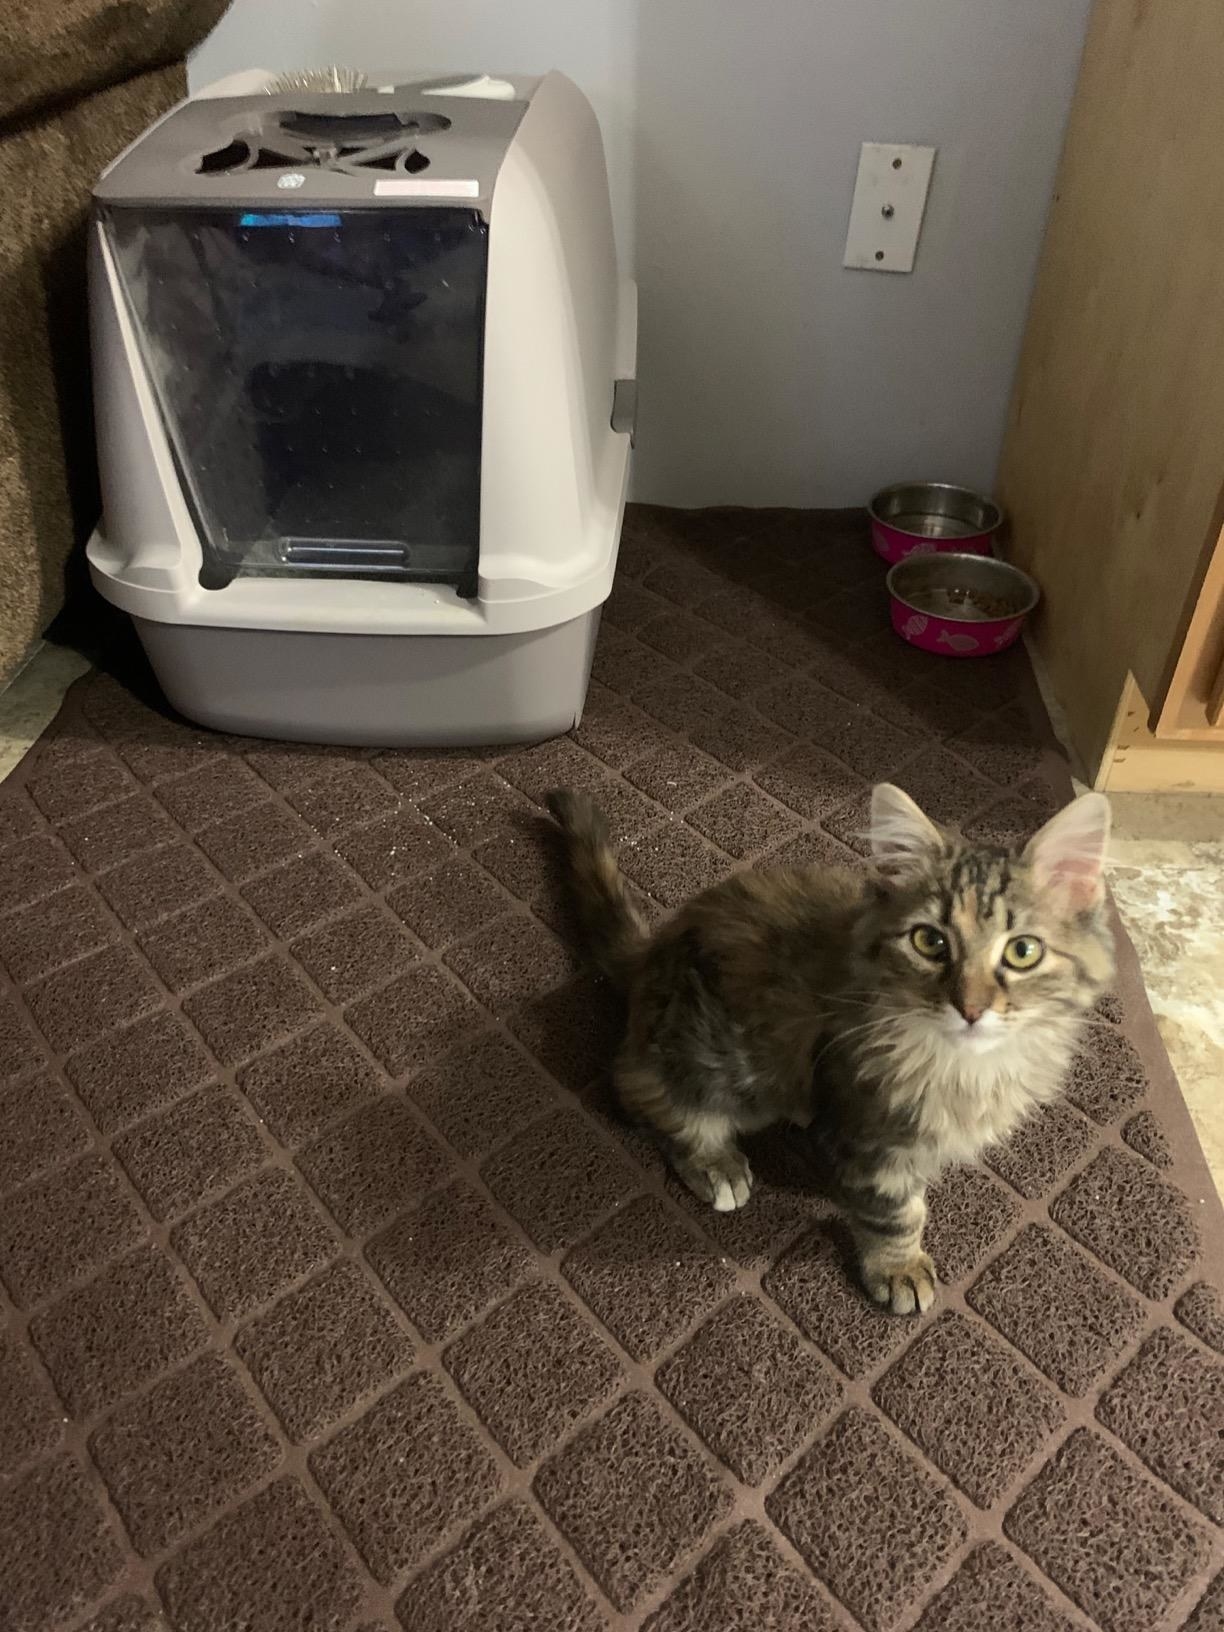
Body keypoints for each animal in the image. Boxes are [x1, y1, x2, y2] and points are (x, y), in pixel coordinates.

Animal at [551, 780, 1116, 1312]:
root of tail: (652, 952)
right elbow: (896, 1215)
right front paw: (899, 1269)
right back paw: (715, 1164)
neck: (965, 1068)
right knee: (640, 1092)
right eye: (930, 942)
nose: (971, 1009)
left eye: (1023, 952)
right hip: (719, 1065)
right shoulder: (867, 1134)